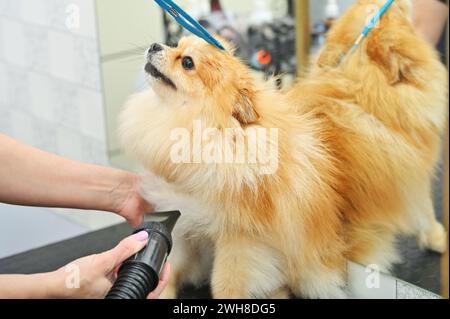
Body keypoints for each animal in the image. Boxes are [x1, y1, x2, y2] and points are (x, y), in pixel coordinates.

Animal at [119, 0, 446, 300]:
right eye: (177, 47)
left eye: (186, 62)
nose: (154, 45)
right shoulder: (184, 221)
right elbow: (170, 268)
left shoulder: (241, 241)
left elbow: (226, 285)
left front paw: (436, 237)